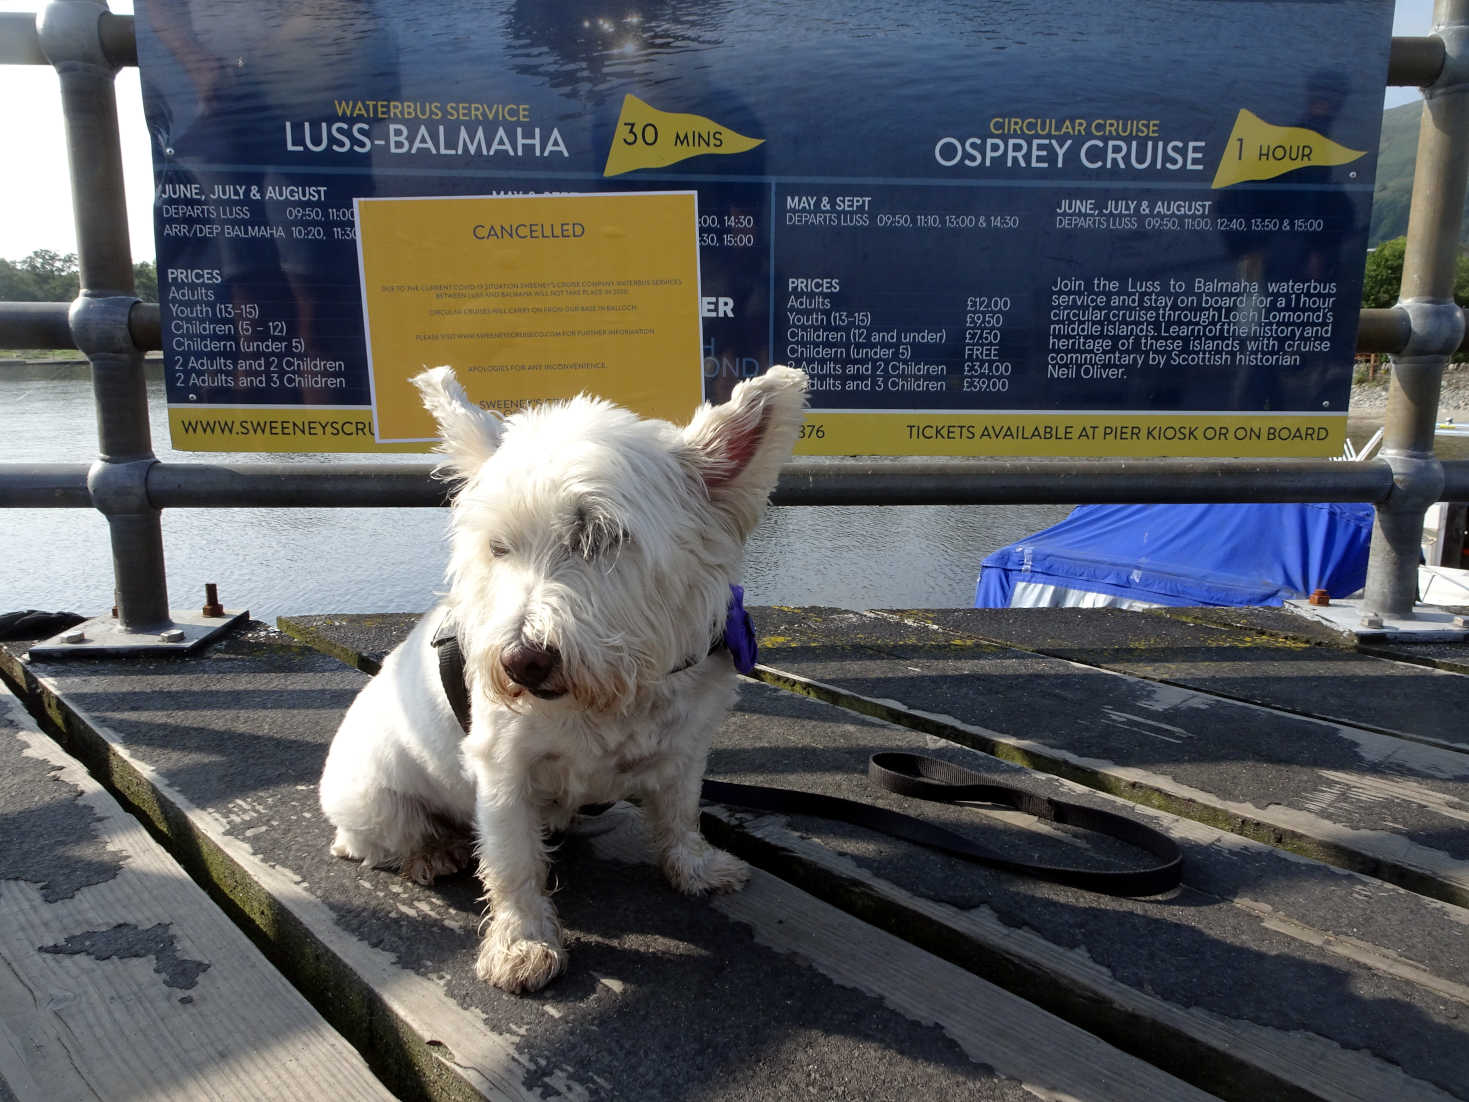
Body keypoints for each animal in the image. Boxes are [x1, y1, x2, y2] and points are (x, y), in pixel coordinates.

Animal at [315, 367, 810, 999]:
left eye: (600, 535)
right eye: (498, 546)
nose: (520, 662)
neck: (611, 692)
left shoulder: (685, 748)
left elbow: (679, 812)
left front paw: (695, 868)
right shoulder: (503, 772)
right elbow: (513, 863)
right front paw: (522, 944)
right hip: (374, 800)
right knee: (378, 841)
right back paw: (433, 851)